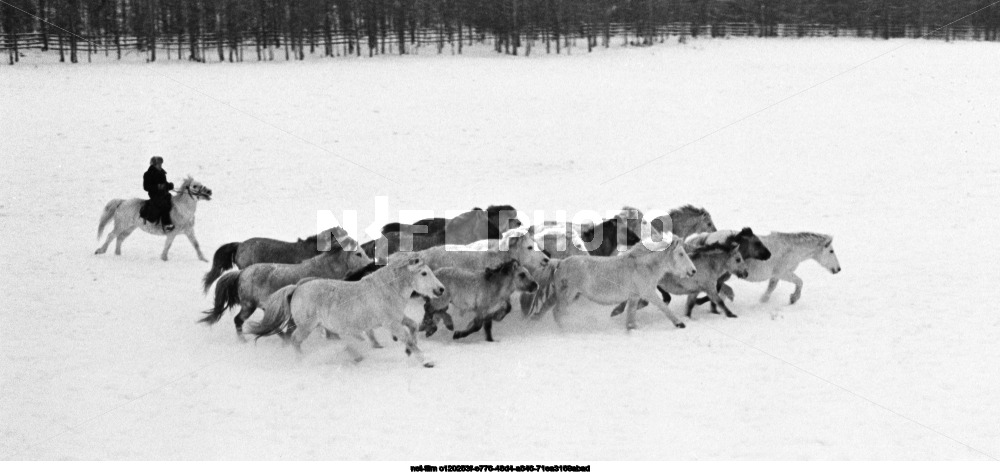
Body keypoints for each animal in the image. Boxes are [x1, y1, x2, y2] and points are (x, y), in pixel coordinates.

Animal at [246, 258, 446, 368]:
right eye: (423, 273)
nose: (441, 289)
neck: (386, 289)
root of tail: (296, 288)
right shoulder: (391, 323)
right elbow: (408, 338)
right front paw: (426, 361)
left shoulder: (398, 318)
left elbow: (413, 327)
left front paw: (408, 351)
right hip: (307, 326)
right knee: (295, 340)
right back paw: (302, 361)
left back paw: (356, 356)